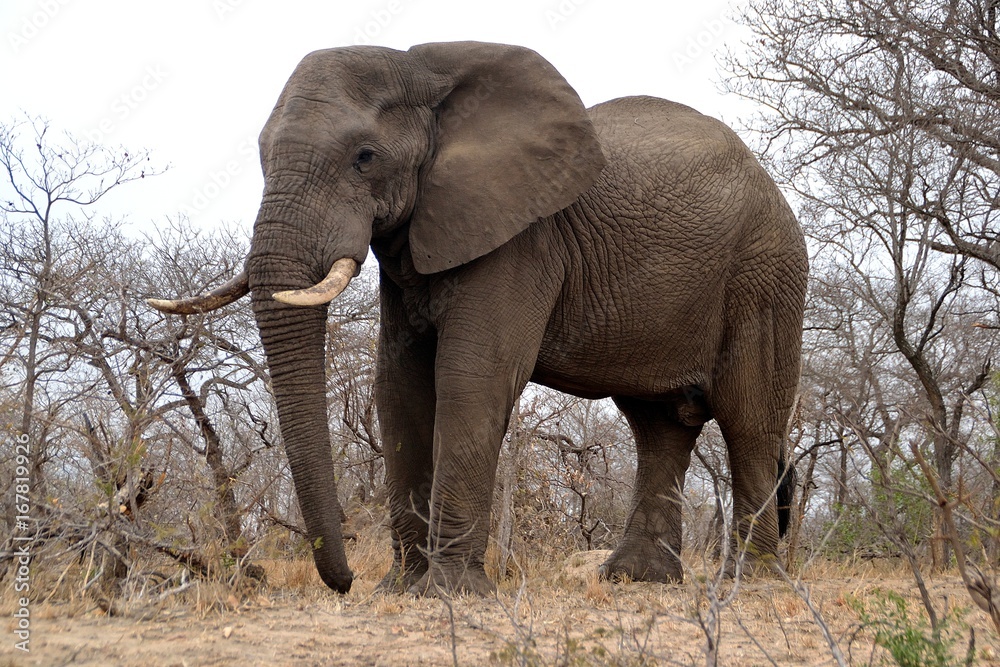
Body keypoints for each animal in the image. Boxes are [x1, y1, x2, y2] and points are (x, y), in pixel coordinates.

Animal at [149, 41, 807, 596]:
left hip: (766, 272)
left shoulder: (521, 239)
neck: (425, 70)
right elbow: (399, 387)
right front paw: (401, 591)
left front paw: (451, 593)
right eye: (261, 158)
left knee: (748, 419)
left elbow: (472, 378)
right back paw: (636, 581)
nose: (346, 583)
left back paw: (750, 586)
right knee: (659, 425)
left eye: (364, 158)